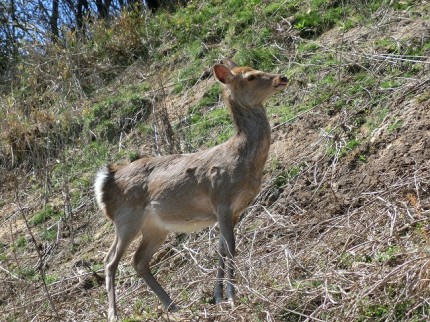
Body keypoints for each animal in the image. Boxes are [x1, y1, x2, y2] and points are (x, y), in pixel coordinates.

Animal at [95, 59, 288, 320]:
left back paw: (172, 305)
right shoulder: (221, 199)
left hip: (155, 226)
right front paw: (231, 296)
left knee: (138, 261)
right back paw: (114, 313)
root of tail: (106, 181)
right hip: (127, 218)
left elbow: (221, 248)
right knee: (110, 260)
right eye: (250, 76)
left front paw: (218, 296)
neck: (243, 162)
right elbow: (230, 247)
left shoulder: (234, 210)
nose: (282, 78)